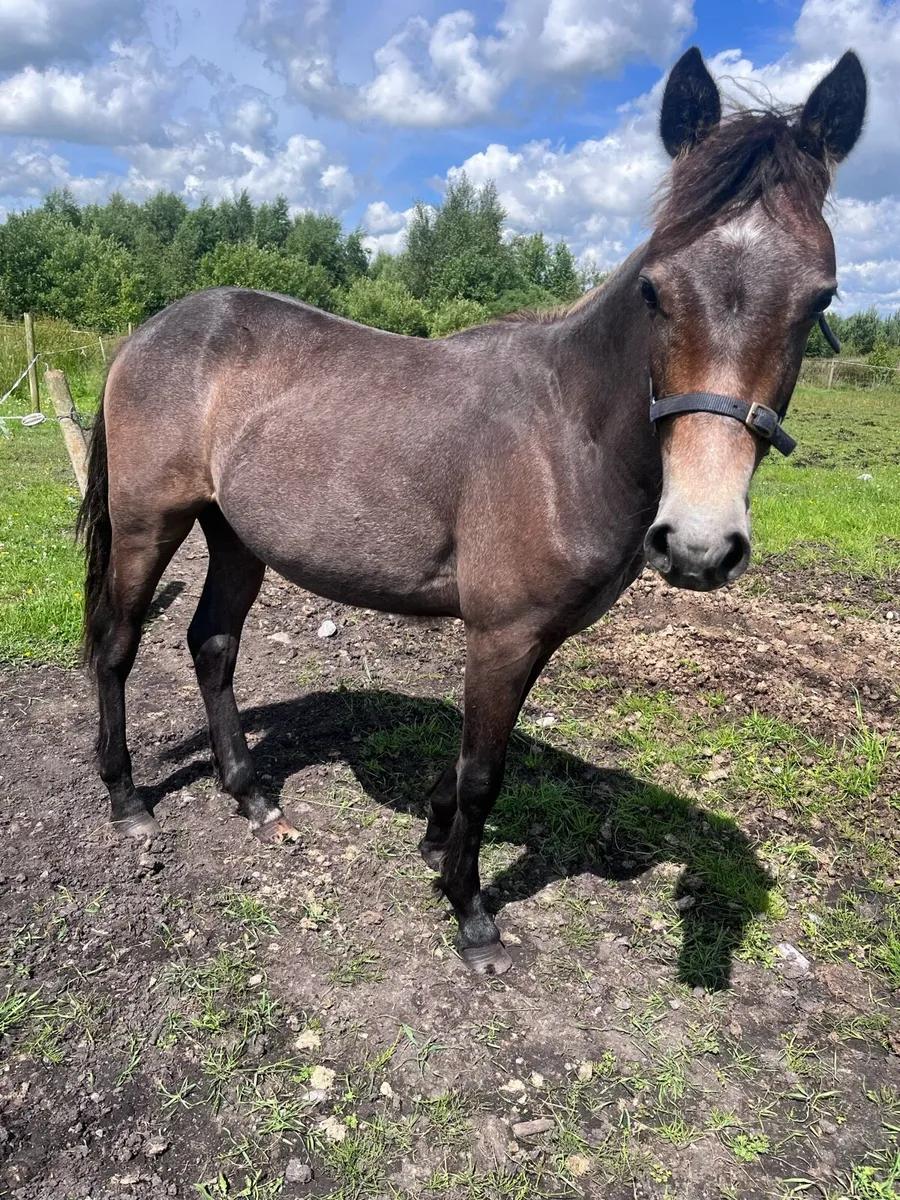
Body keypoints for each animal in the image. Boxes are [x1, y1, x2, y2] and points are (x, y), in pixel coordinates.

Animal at [78, 46, 866, 975]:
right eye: (653, 290)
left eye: (819, 299)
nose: (699, 546)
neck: (566, 433)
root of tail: (148, 332)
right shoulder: (502, 632)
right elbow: (485, 773)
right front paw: (470, 911)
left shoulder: (533, 638)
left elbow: (468, 761)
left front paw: (431, 839)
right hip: (148, 525)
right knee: (117, 647)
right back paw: (128, 799)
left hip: (236, 535)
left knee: (212, 645)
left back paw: (251, 796)